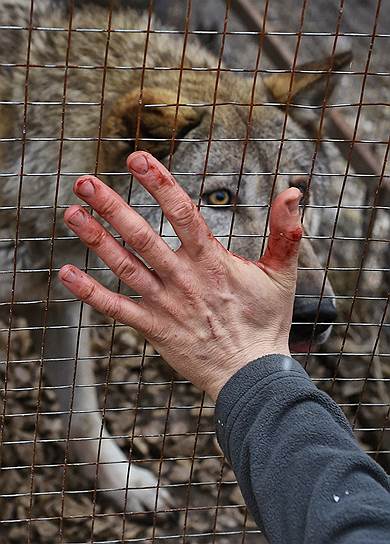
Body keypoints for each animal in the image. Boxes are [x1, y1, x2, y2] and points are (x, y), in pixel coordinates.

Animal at [0, 0, 386, 516]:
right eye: (219, 198)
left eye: (298, 193)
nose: (313, 315)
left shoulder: (62, 307)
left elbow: (81, 413)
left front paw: (123, 483)